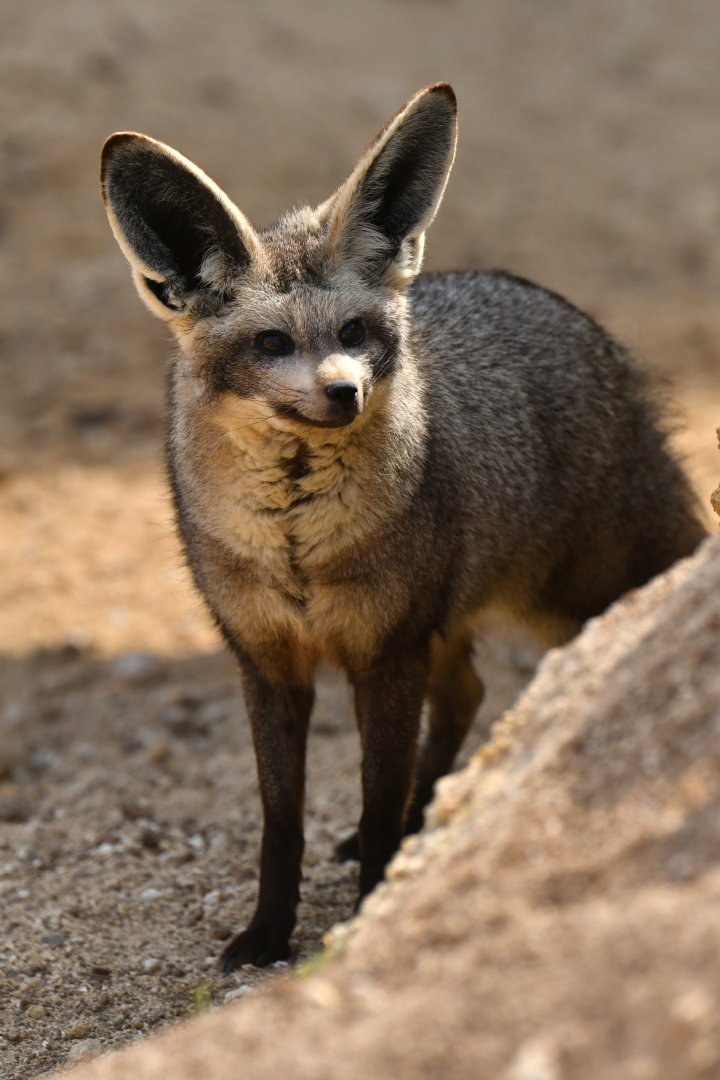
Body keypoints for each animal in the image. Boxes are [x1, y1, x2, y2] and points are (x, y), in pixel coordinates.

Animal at [100, 83, 705, 971]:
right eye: (270, 342)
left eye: (354, 332)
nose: (344, 392)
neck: (297, 545)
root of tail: (573, 318)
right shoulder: (269, 660)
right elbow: (280, 820)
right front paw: (267, 931)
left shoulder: (383, 652)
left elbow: (377, 797)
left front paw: (366, 909)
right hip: (445, 624)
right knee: (469, 691)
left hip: (554, 604)